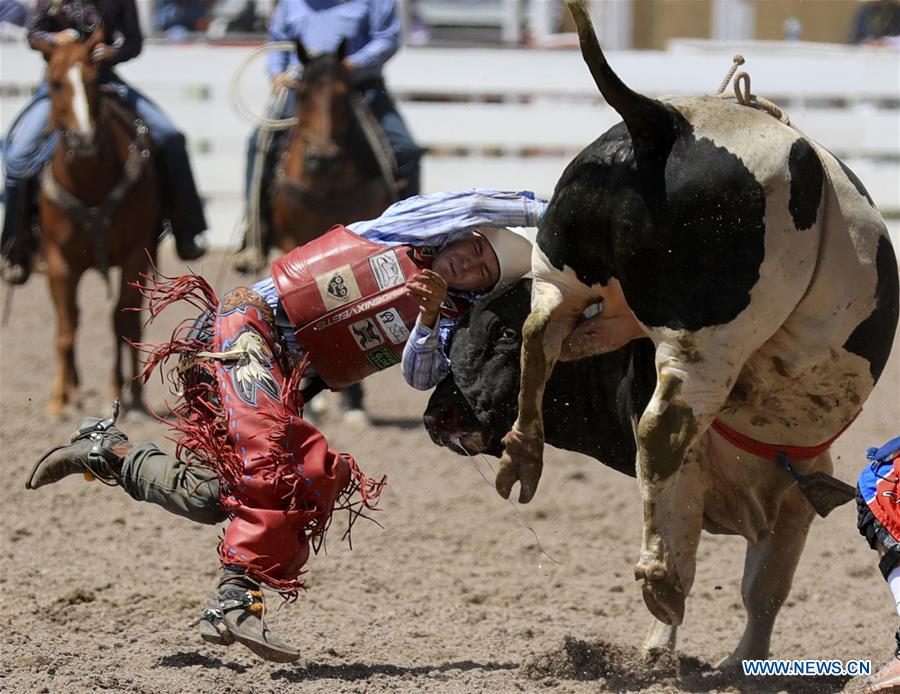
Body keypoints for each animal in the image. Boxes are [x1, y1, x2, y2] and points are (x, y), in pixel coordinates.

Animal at [33, 29, 158, 416]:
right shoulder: (58, 260)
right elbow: (66, 327)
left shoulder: (135, 254)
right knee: (70, 318)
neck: (89, 185)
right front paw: (58, 401)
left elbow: (121, 320)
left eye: (92, 80)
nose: (84, 139)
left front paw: (121, 395)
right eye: (56, 82)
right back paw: (71, 390)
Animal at [428, 282, 884, 668]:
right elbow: (676, 567)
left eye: (507, 333)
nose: (435, 416)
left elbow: (765, 589)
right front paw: (657, 652)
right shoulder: (682, 481)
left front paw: (742, 662)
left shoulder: (797, 494)